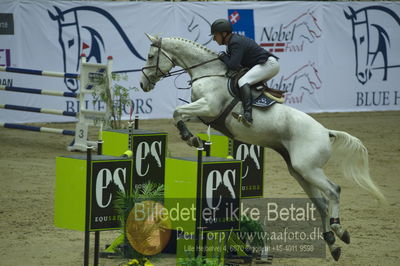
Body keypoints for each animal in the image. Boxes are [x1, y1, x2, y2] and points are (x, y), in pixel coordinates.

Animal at [139, 34, 386, 260]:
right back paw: (332, 244)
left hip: (308, 168)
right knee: (321, 203)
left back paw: (339, 230)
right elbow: (179, 114)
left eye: (150, 56)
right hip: (300, 171)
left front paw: (191, 139)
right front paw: (192, 138)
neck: (208, 71)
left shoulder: (208, 107)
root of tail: (326, 132)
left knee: (334, 191)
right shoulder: (204, 114)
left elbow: (177, 111)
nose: (143, 84)